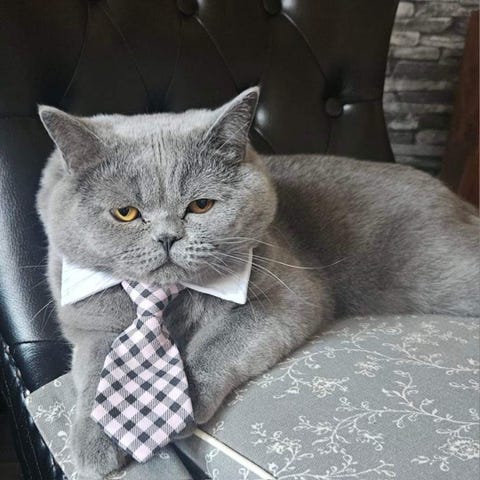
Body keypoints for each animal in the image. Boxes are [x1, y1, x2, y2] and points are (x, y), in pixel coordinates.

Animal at [36, 87, 480, 478]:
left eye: (201, 205)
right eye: (125, 213)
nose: (167, 237)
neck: (168, 300)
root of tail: (452, 197)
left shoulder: (289, 295)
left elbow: (219, 340)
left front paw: (180, 408)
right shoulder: (88, 324)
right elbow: (99, 365)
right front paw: (94, 442)